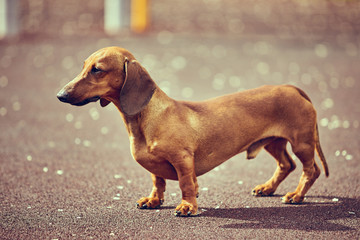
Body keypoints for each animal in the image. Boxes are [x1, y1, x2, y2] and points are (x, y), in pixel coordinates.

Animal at [57, 47, 330, 218]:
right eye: (84, 66)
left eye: (97, 69)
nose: (60, 95)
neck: (147, 118)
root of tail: (291, 87)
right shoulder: (155, 167)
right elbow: (158, 182)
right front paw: (153, 201)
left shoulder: (183, 159)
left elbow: (186, 184)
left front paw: (188, 206)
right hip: (273, 142)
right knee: (286, 165)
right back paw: (267, 188)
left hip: (302, 143)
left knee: (310, 170)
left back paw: (296, 195)